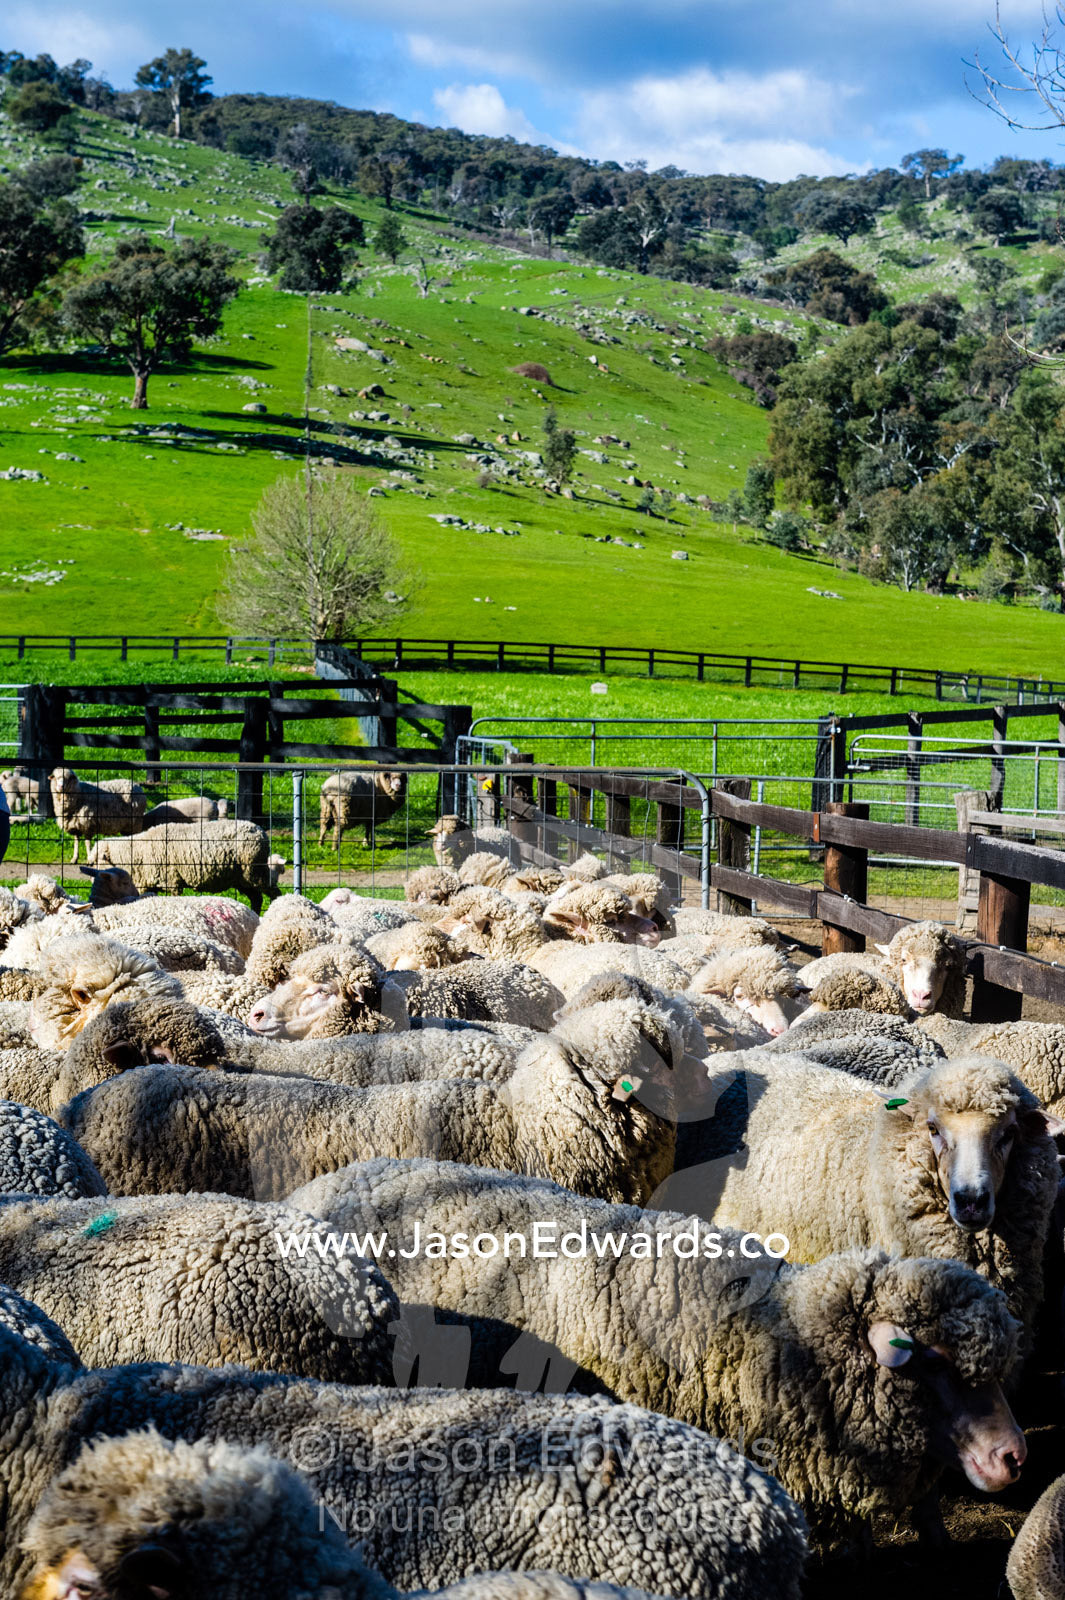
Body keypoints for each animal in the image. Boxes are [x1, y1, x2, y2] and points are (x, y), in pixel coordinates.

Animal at [86, 820, 285, 914]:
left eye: (97, 860)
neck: (136, 852)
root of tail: (260, 831)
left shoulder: (172, 880)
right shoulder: (151, 883)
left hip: (255, 871)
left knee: (274, 893)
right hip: (242, 878)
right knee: (257, 897)